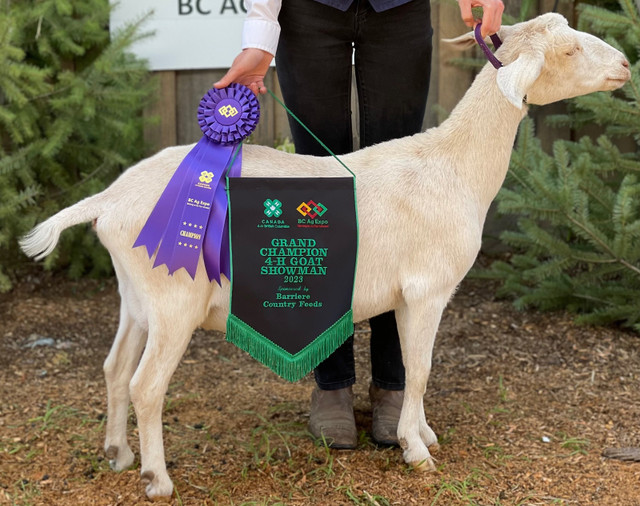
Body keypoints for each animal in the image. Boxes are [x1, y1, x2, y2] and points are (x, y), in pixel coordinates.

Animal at [21, 13, 632, 500]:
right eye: (569, 51)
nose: (626, 64)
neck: (452, 165)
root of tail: (108, 201)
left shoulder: (410, 297)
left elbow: (412, 368)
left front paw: (421, 434)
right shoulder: (426, 289)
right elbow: (422, 368)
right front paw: (416, 451)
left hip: (136, 296)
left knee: (115, 368)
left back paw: (118, 455)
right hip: (172, 299)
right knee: (146, 386)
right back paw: (157, 479)